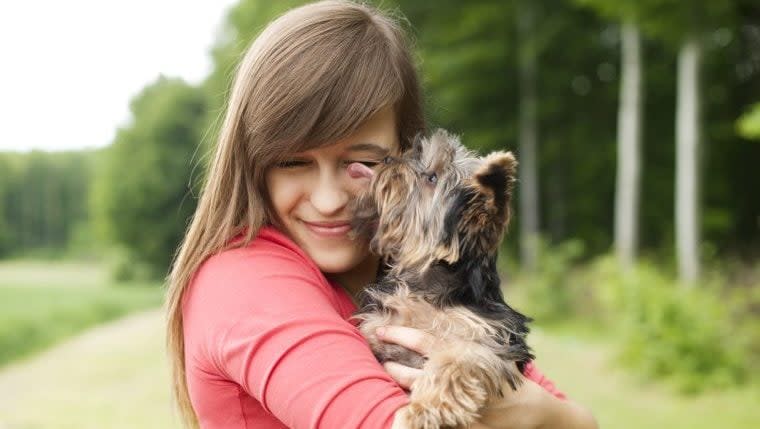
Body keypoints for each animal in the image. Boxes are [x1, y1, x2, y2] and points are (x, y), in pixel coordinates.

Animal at [348, 130, 532, 428]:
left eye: (431, 178)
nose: (388, 160)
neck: (426, 287)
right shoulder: (378, 328)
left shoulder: (486, 340)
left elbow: (454, 362)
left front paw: (423, 410)